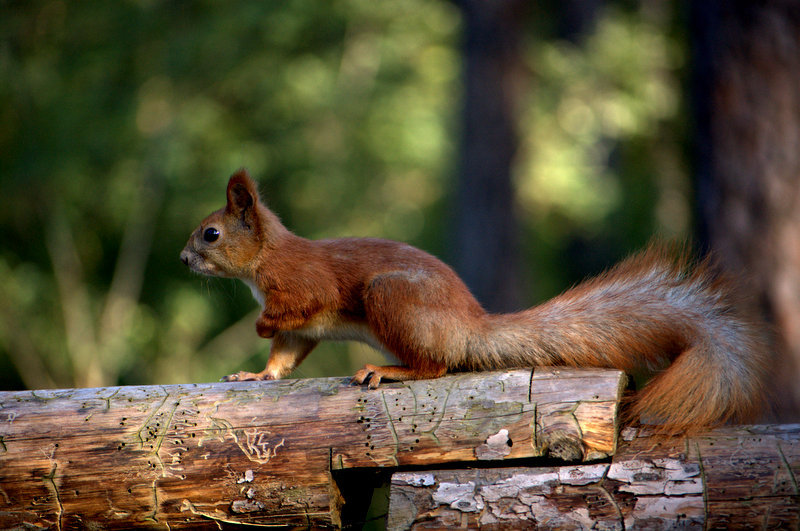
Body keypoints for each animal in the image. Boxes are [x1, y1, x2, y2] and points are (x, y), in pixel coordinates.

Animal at [180, 171, 768, 436]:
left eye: (211, 234)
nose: (184, 258)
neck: (263, 260)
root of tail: (469, 327)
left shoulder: (303, 285)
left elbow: (299, 309)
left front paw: (259, 325)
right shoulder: (302, 331)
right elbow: (285, 354)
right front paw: (256, 375)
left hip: (390, 297)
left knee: (434, 366)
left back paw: (391, 371)